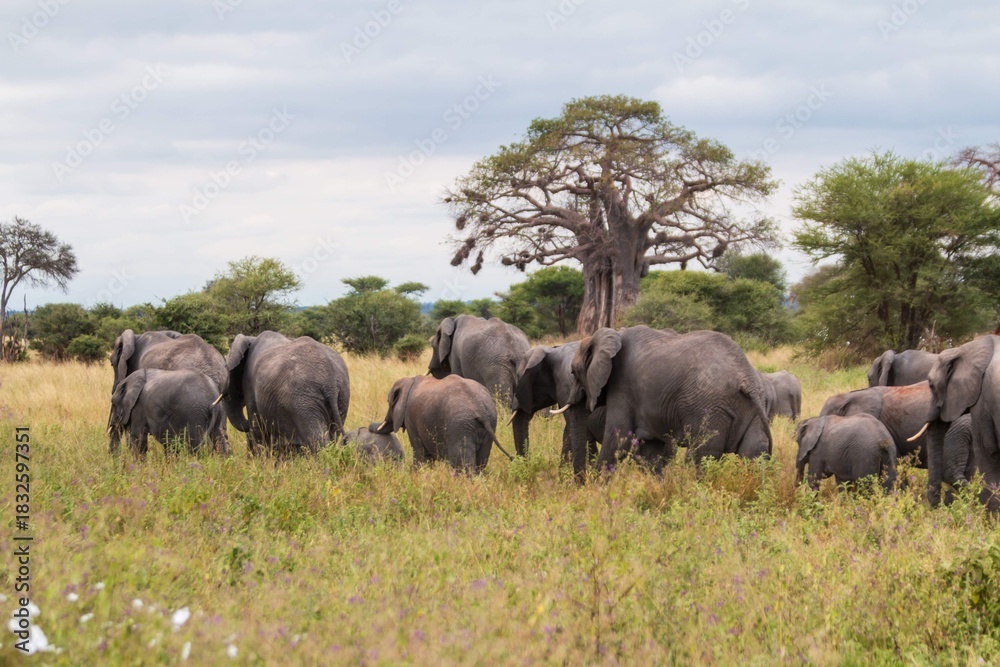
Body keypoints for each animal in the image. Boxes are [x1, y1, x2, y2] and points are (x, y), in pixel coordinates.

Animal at [374, 375, 512, 474]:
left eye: (388, 402)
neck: (410, 380)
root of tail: (480, 409)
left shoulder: (410, 418)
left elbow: (420, 454)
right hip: (490, 422)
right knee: (481, 462)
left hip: (460, 426)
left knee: (462, 465)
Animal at [429, 315, 531, 456]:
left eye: (432, 346)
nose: (431, 368)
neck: (452, 322)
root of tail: (516, 350)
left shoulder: (455, 358)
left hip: (495, 366)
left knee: (501, 399)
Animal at [570, 326, 771, 470]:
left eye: (573, 371)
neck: (613, 333)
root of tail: (746, 377)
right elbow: (653, 450)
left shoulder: (622, 387)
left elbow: (618, 439)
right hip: (753, 405)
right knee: (754, 451)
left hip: (710, 409)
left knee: (702, 454)